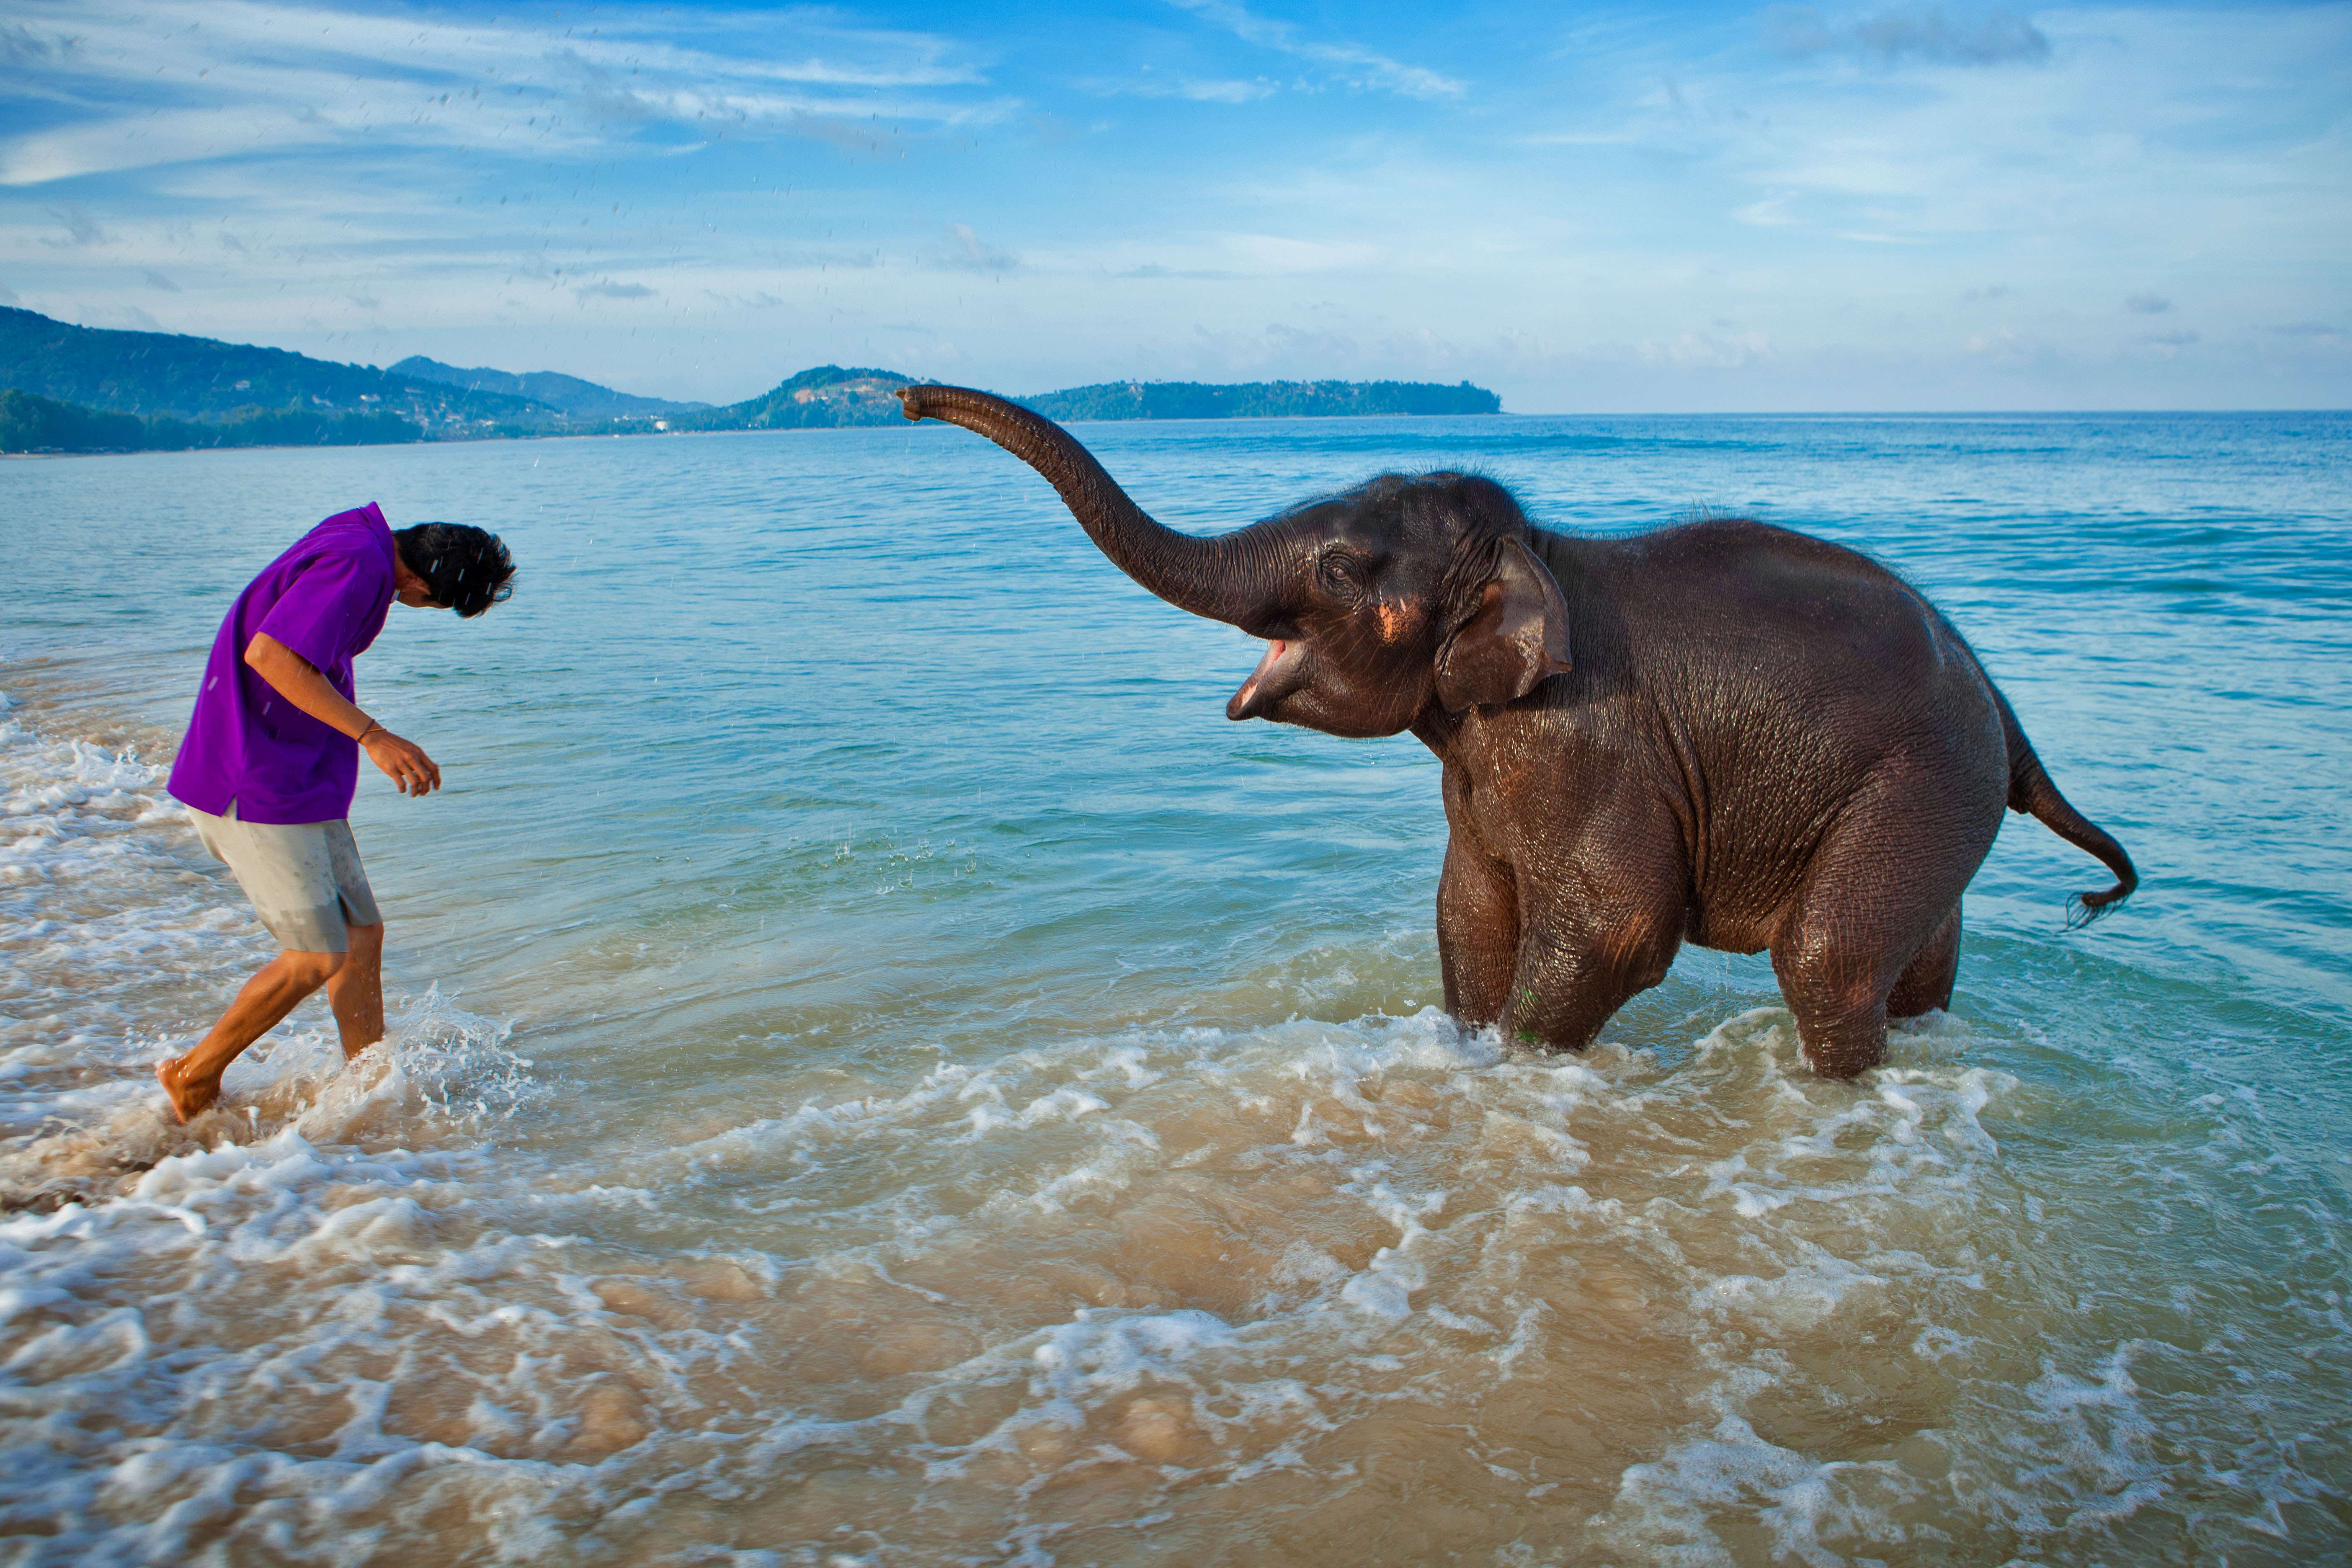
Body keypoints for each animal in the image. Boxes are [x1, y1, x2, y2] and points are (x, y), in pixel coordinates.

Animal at [894, 385, 2135, 1086]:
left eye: (1339, 568)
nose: (903, 398)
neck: (1535, 550)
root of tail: (2003, 706)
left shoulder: (1591, 742)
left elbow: (1617, 922)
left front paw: (1521, 1072)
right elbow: (1471, 912)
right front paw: (1469, 1051)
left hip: (1924, 777)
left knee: (1825, 959)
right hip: (1936, 793)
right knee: (1915, 959)